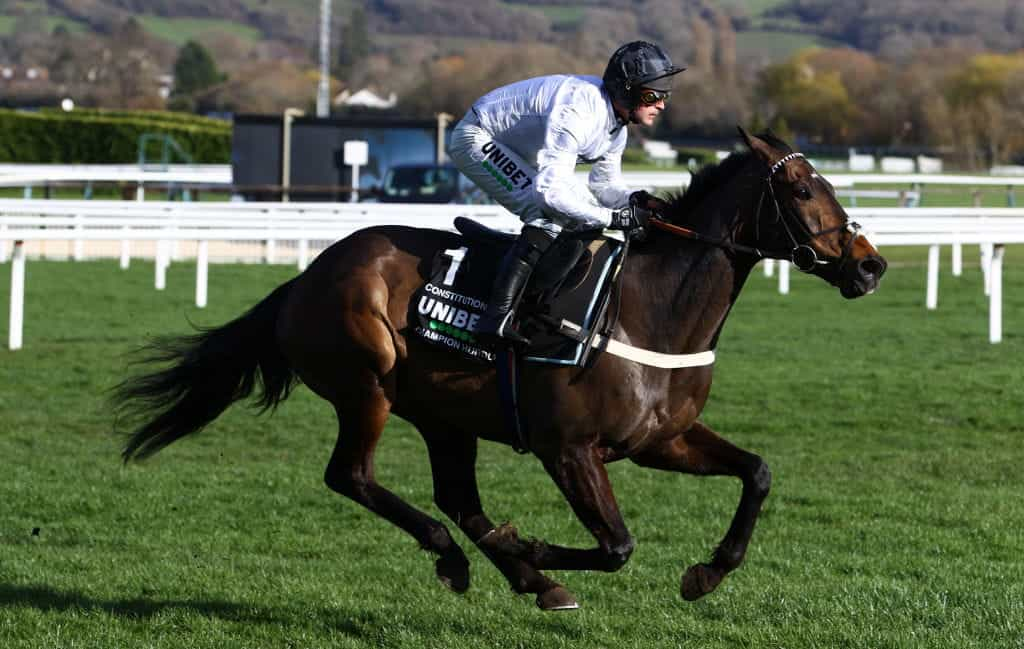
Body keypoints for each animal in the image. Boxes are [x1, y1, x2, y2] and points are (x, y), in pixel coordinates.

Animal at [116, 128, 888, 610]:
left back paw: (515, 571)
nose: (871, 266)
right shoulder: (569, 449)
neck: (649, 309)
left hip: (443, 413)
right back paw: (468, 557)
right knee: (353, 476)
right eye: (803, 193)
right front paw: (535, 546)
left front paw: (705, 573)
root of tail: (305, 277)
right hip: (367, 386)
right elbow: (616, 545)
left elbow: (757, 472)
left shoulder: (659, 440)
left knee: (457, 497)